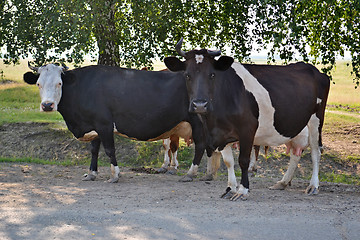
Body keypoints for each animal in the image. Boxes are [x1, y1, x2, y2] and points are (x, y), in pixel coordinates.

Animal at [23, 62, 207, 183]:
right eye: (38, 84)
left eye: (59, 83)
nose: (47, 105)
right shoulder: (94, 126)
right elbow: (94, 151)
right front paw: (91, 174)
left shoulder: (104, 124)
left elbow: (110, 150)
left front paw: (115, 175)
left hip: (198, 122)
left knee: (200, 146)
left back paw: (190, 174)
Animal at [165, 38, 330, 201]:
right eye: (187, 75)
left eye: (212, 74)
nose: (200, 104)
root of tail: (312, 69)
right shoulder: (221, 133)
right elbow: (229, 162)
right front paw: (230, 188)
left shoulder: (247, 129)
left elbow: (243, 161)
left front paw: (242, 190)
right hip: (294, 124)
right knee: (296, 153)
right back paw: (282, 182)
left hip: (316, 120)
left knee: (315, 151)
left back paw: (313, 186)